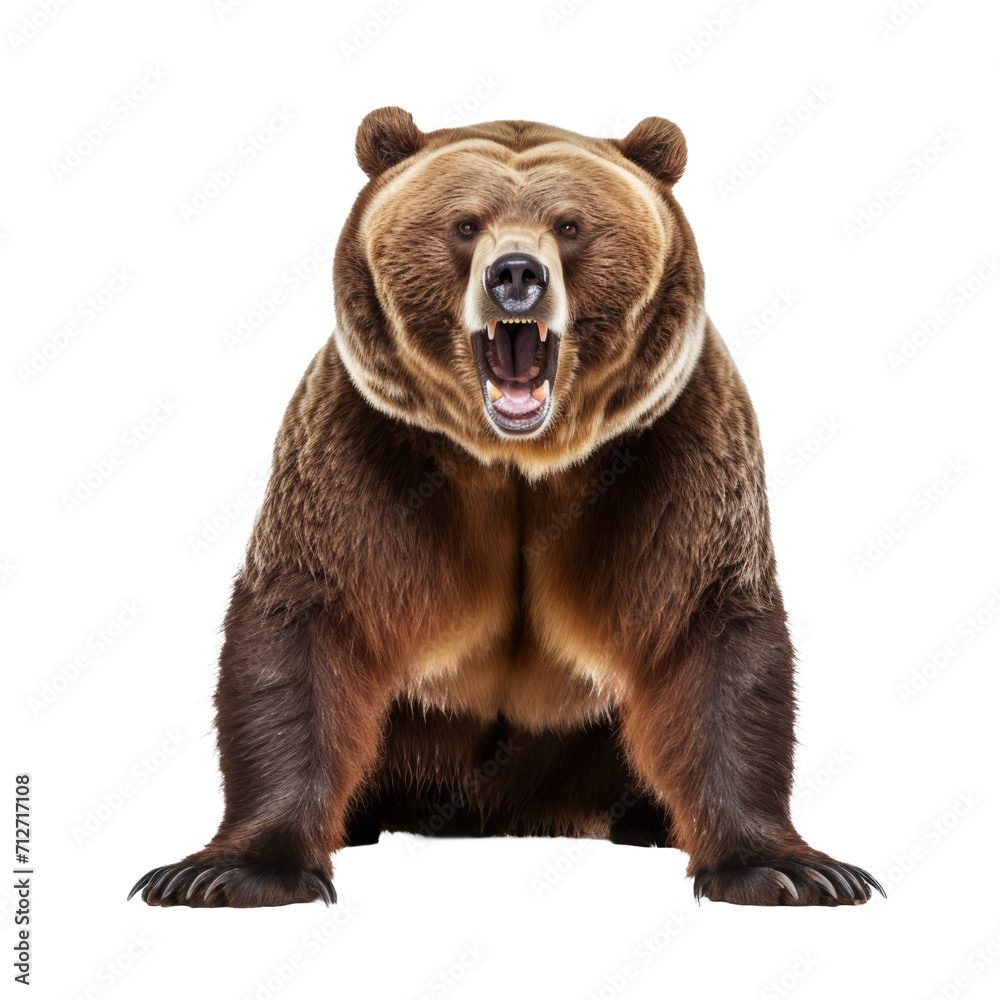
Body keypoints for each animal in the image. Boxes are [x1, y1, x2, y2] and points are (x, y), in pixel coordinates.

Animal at [130, 107, 883, 908]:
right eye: (464, 223)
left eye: (571, 224)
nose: (516, 274)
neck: (518, 462)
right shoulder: (367, 453)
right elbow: (306, 621)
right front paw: (232, 871)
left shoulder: (669, 452)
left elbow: (707, 628)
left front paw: (788, 868)